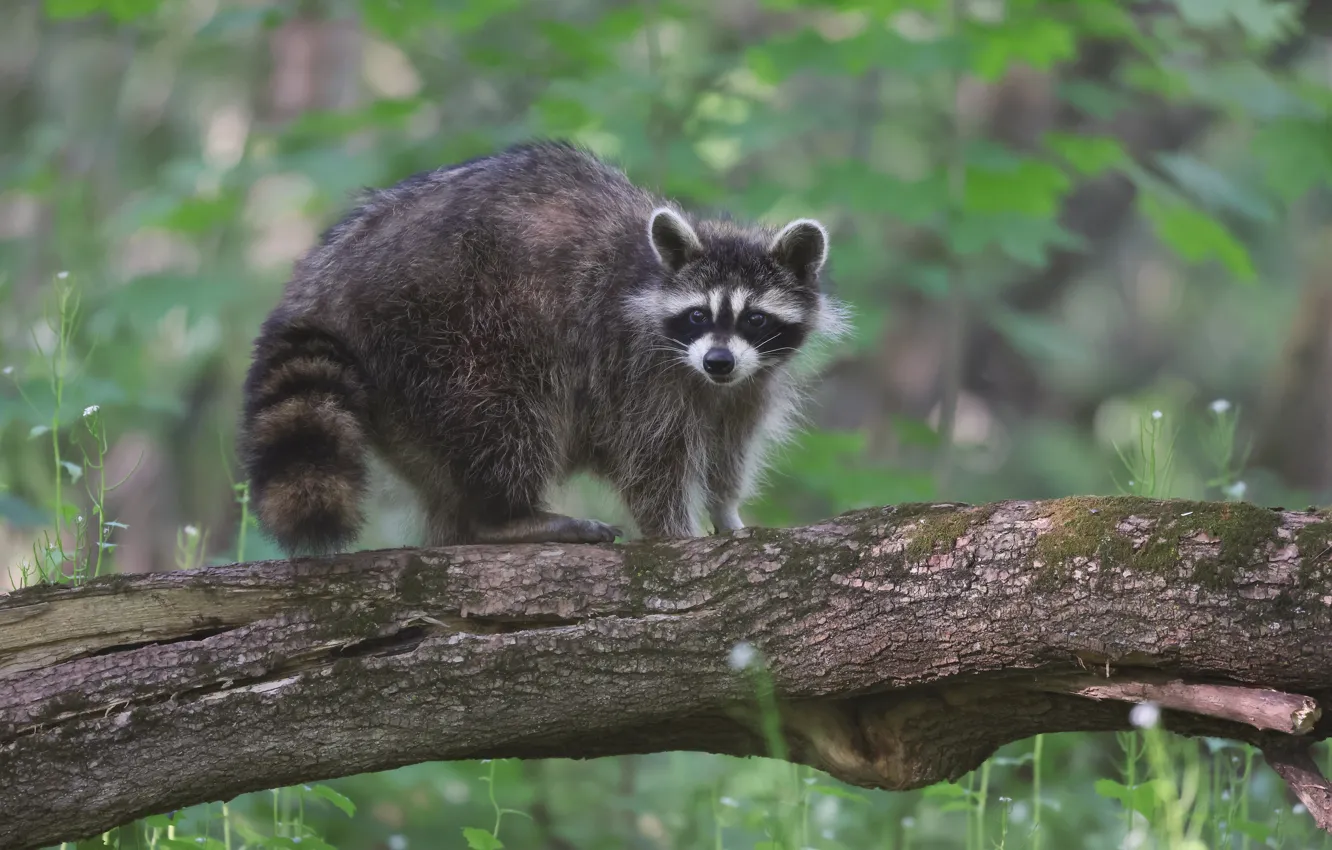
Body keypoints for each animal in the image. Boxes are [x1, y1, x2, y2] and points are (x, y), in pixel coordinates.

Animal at [238, 140, 849, 555]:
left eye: (754, 319)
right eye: (699, 314)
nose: (718, 361)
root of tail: (324, 282)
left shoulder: (749, 383)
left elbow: (729, 448)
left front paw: (726, 509)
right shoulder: (632, 362)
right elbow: (650, 459)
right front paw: (675, 533)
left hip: (402, 397)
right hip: (446, 330)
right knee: (502, 415)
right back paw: (506, 519)